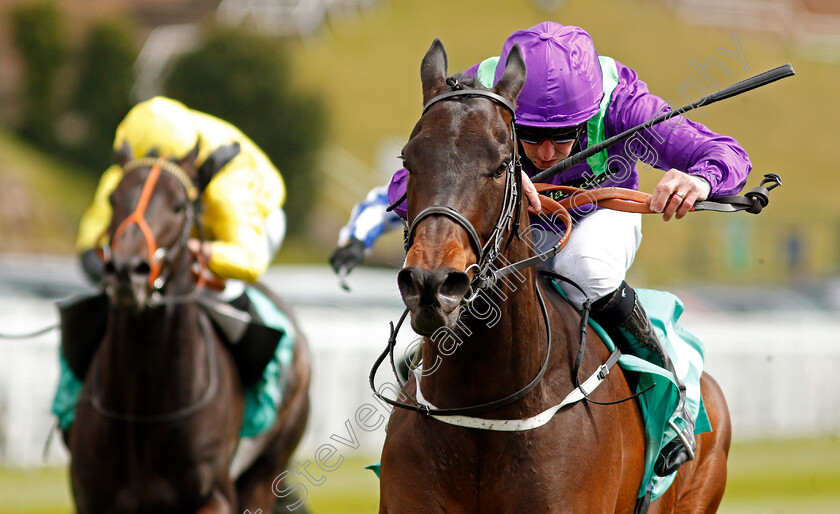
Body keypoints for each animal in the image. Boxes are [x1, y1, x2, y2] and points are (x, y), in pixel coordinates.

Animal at [65, 146, 308, 510]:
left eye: (179, 205)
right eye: (112, 198)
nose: (125, 271)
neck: (143, 410)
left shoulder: (215, 495)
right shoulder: (92, 498)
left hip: (266, 472)